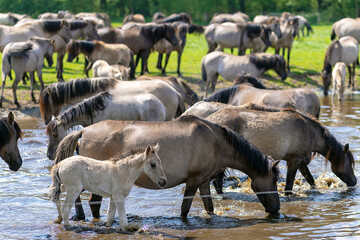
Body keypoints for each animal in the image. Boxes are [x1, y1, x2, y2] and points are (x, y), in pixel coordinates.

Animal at [54, 116, 282, 221]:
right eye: (274, 179)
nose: (276, 210)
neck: (214, 140)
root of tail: (84, 130)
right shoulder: (193, 181)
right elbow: (184, 209)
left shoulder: (204, 181)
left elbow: (209, 207)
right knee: (86, 202)